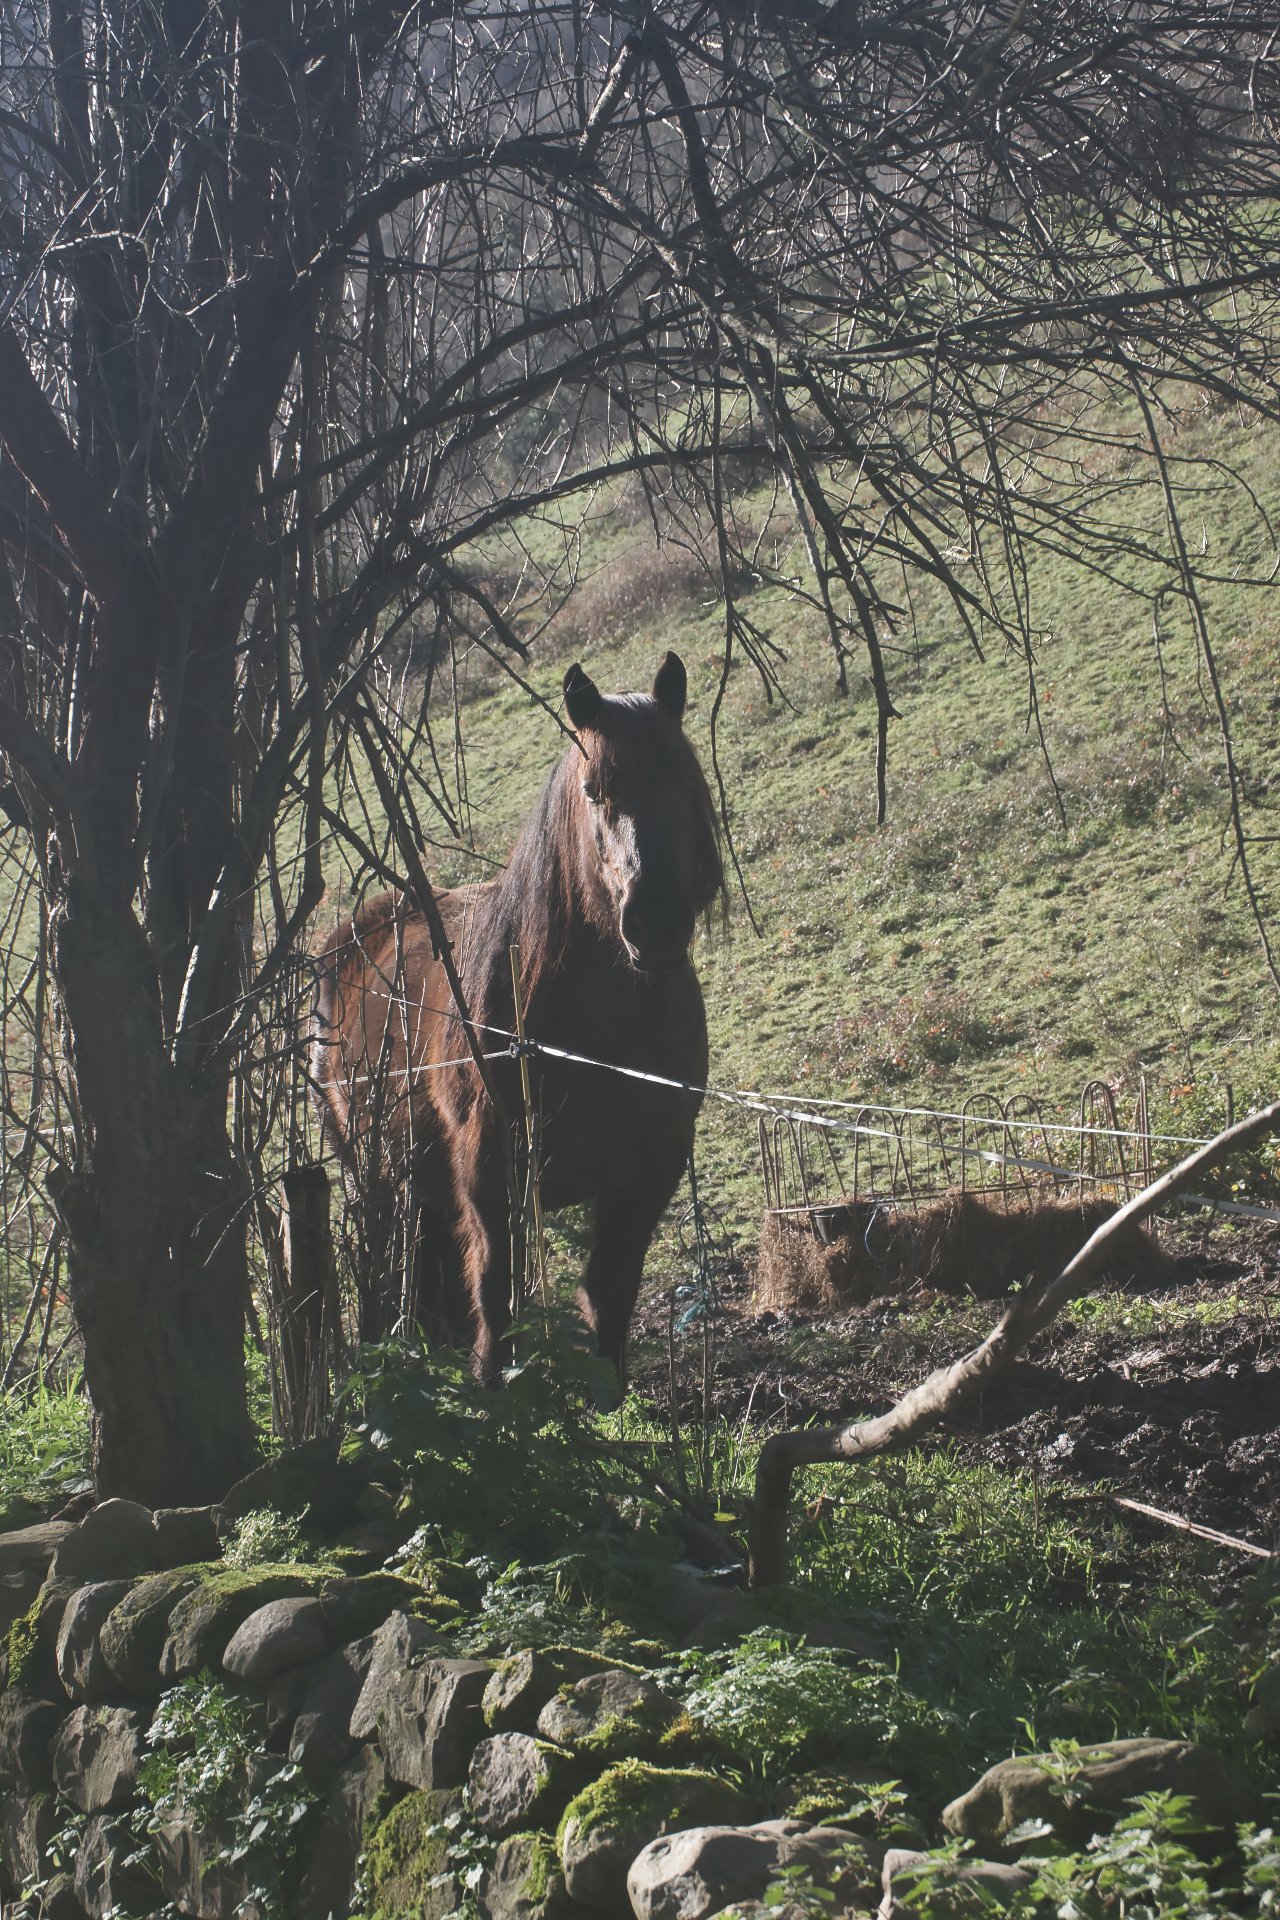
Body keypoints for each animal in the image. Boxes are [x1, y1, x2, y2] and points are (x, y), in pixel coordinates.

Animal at [310, 656, 725, 1382]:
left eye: (681, 776)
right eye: (593, 790)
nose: (655, 924)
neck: (599, 1043)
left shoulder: (650, 1171)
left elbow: (609, 1296)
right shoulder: (489, 1173)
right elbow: (496, 1300)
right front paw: (494, 1391)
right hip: (375, 1179)